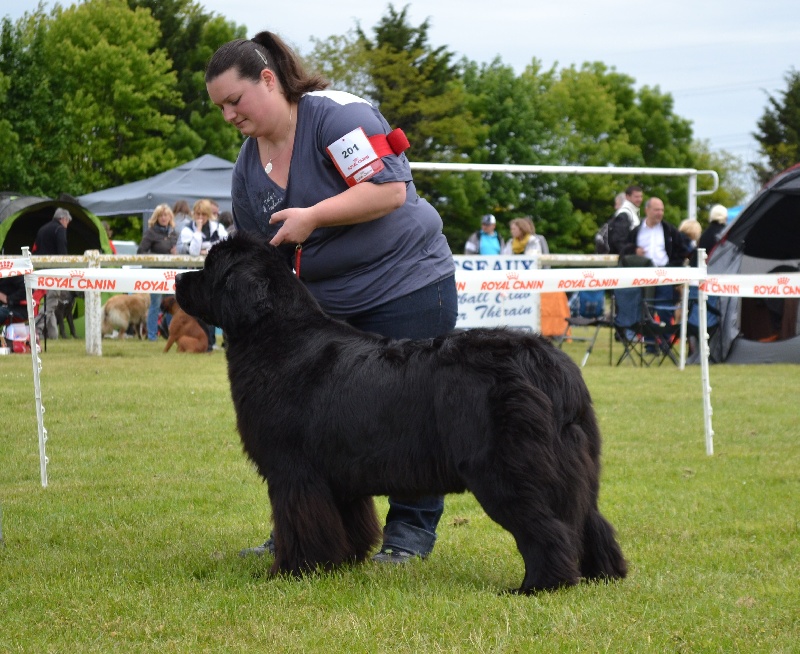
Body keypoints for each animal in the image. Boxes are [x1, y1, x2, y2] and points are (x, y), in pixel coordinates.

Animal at [177, 234, 632, 596]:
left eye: (210, 267)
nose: (178, 278)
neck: (277, 337)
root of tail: (547, 363)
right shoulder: (339, 475)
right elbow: (346, 523)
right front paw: (342, 562)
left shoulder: (294, 472)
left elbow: (299, 524)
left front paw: (292, 571)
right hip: (576, 465)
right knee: (589, 521)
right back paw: (603, 576)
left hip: (505, 470)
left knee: (548, 528)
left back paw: (538, 587)